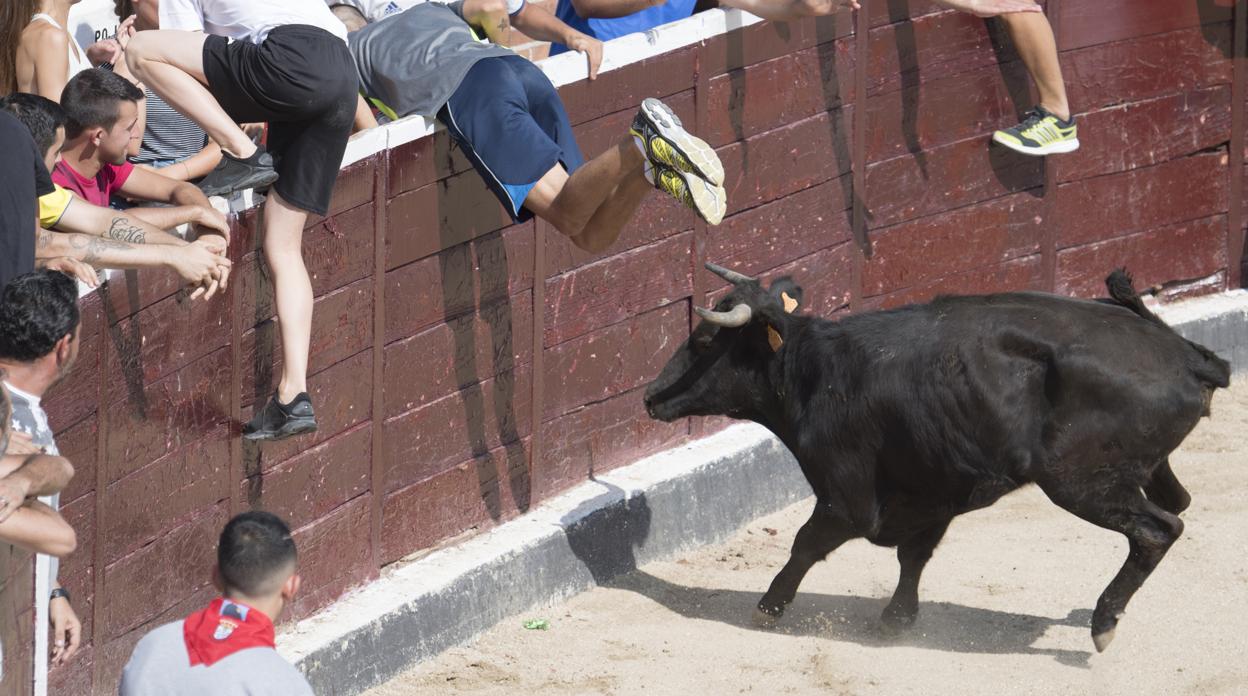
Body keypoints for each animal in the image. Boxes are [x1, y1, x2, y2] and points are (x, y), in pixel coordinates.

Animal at [643, 264, 1228, 653]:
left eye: (704, 339)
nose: (649, 396)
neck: (814, 370)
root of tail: (1184, 356)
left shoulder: (845, 497)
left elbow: (806, 544)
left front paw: (768, 608)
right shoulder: (932, 490)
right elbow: (914, 557)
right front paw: (896, 619)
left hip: (1082, 482)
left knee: (1158, 528)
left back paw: (1104, 622)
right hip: (1138, 471)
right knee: (1179, 503)